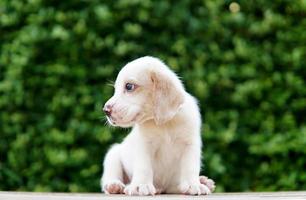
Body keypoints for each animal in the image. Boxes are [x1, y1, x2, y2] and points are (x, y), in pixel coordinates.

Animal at [101, 56, 215, 195]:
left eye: (129, 86)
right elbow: (144, 167)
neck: (165, 123)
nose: (105, 110)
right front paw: (140, 185)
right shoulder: (144, 145)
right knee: (111, 176)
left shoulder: (190, 144)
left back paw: (203, 181)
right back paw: (115, 186)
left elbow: (190, 167)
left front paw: (193, 185)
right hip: (113, 155)